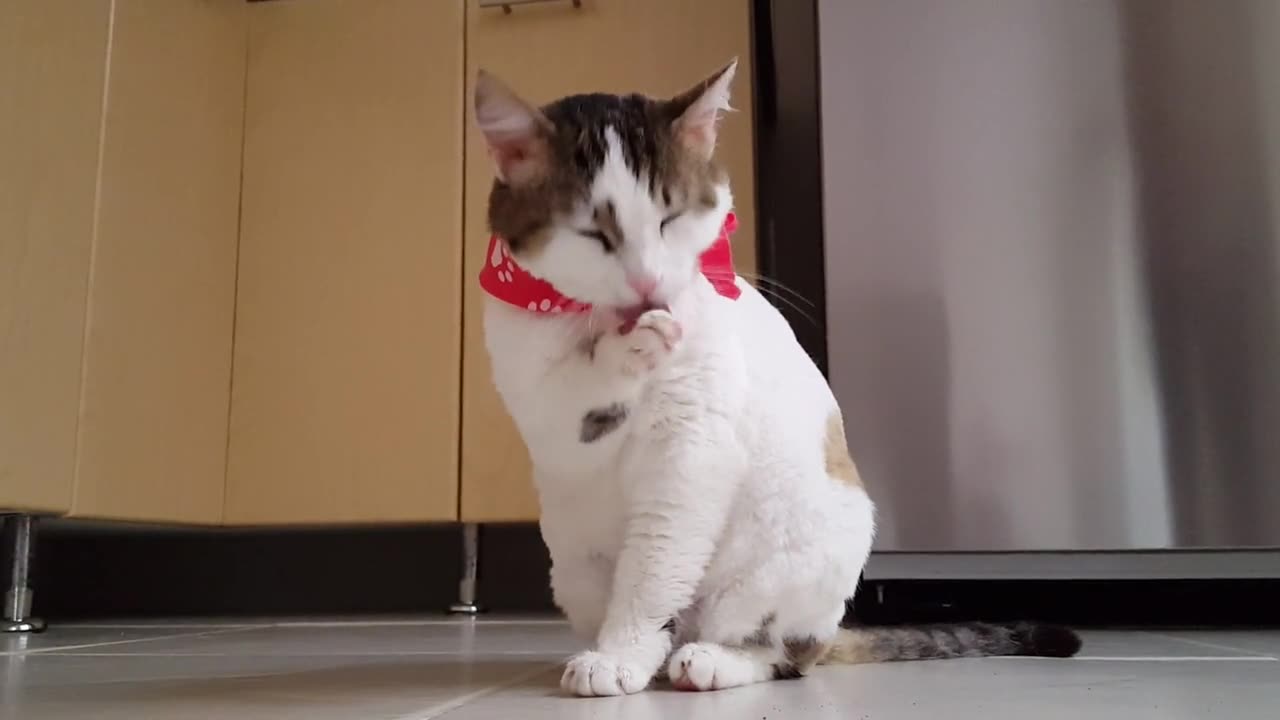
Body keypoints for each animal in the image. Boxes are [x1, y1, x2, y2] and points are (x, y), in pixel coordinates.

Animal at [471, 63, 1080, 696]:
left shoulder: (693, 450)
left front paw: (619, 655)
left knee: (785, 652)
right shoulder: (537, 396)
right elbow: (571, 403)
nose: (647, 283)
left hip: (789, 566)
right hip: (572, 567)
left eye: (670, 219)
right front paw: (628, 348)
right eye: (593, 235)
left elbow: (655, 567)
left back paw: (712, 659)